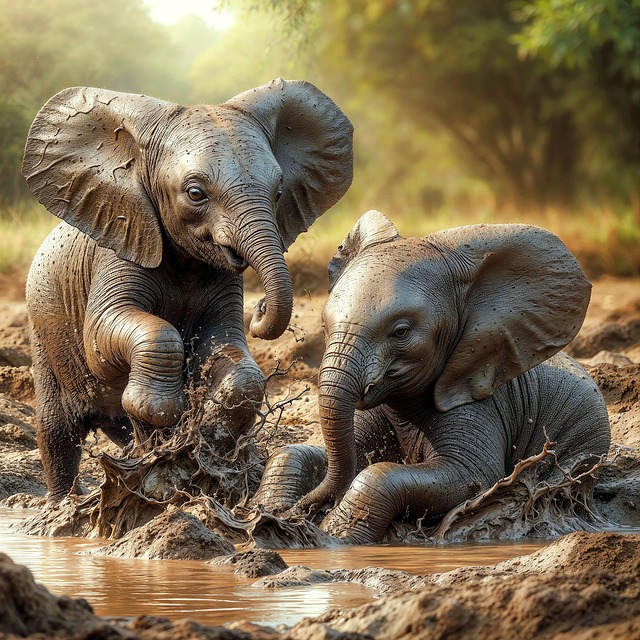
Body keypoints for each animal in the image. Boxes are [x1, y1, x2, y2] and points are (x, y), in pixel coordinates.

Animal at [21, 79, 353, 501]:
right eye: (196, 194)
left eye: (278, 193)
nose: (261, 310)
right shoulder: (122, 241)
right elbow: (102, 338)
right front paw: (160, 412)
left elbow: (227, 348)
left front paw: (205, 440)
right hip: (42, 327)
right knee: (57, 431)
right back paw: (64, 502)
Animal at [252, 210, 611, 544]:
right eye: (325, 326)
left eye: (401, 332)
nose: (302, 510)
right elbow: (298, 452)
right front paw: (265, 514)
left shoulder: (479, 401)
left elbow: (469, 475)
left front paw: (334, 538)